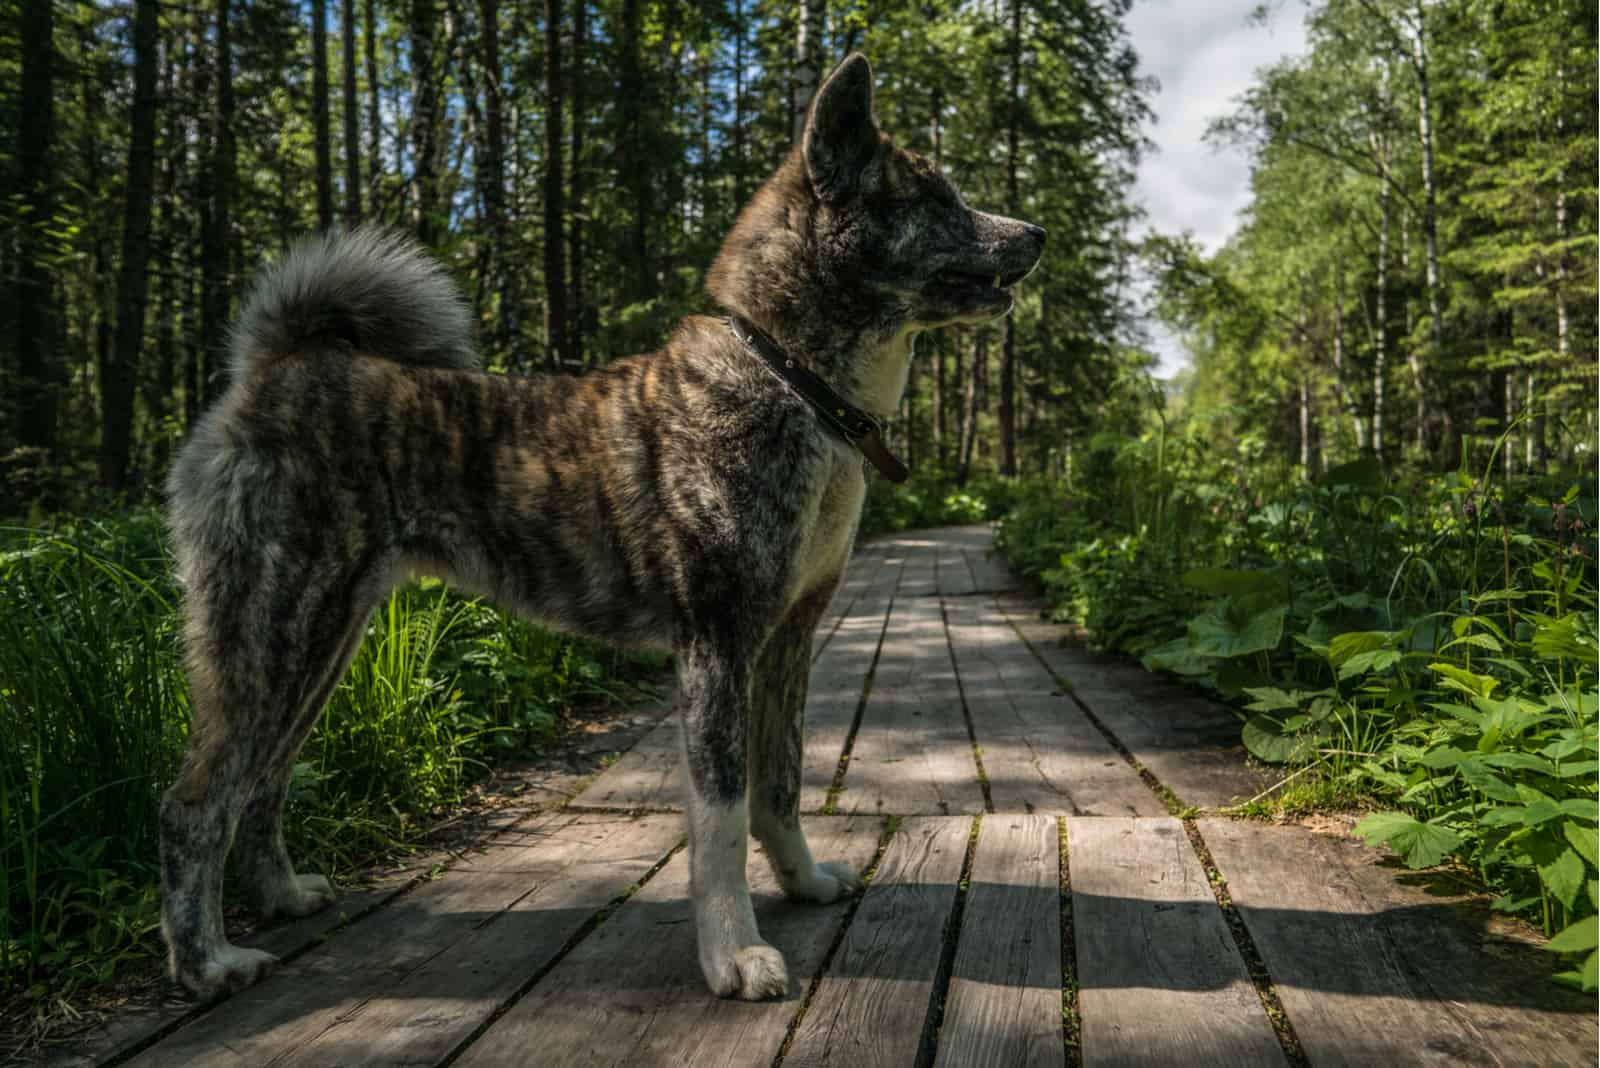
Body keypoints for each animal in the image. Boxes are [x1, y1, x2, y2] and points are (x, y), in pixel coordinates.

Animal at [159, 51, 1036, 1004]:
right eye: (933, 196)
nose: (1033, 234)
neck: (791, 379)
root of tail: (276, 367)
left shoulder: (788, 637)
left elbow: (781, 785)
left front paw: (802, 882)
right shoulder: (720, 642)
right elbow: (723, 814)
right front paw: (735, 954)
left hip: (322, 642)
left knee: (263, 783)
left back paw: (281, 898)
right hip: (272, 638)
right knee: (197, 803)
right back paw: (206, 962)